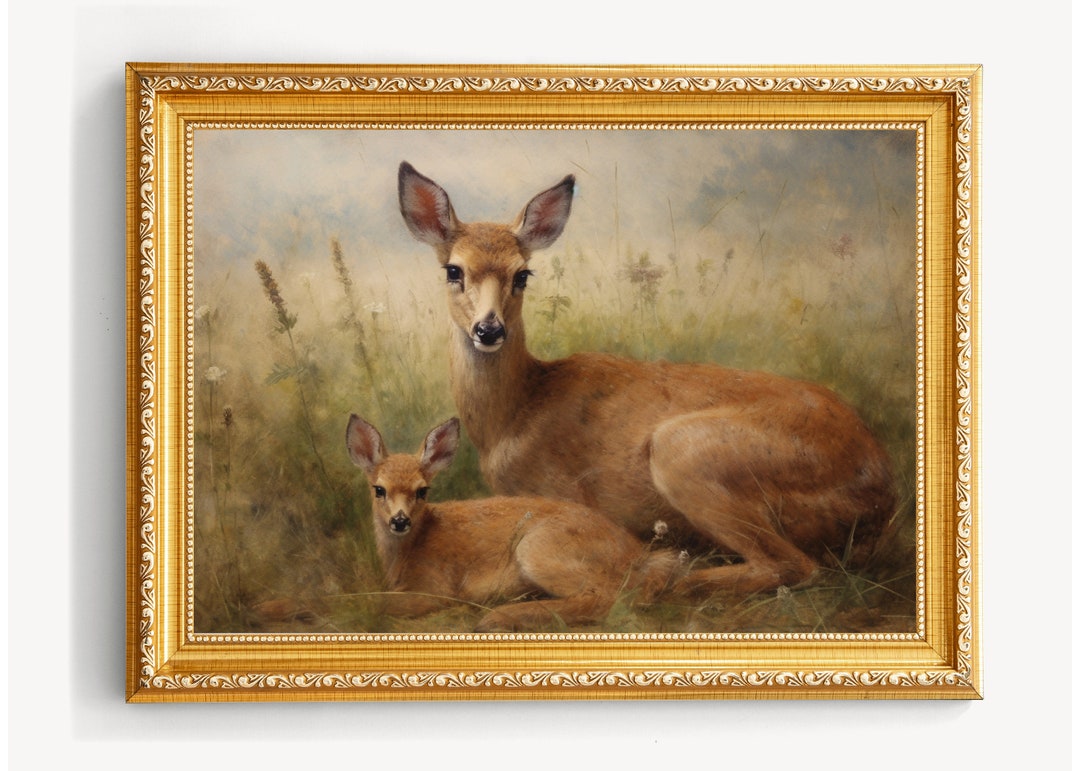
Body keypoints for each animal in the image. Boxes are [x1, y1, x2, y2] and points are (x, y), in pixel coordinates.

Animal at [346, 414, 685, 632]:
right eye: (379, 489)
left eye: (422, 490)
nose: (399, 520)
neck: (408, 552)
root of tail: (638, 554)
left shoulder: (437, 587)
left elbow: (375, 602)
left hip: (539, 548)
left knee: (611, 598)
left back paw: (497, 618)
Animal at [397, 161, 898, 599]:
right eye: (453, 270)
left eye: (523, 273)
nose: (489, 329)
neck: (518, 412)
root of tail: (882, 493)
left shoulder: (565, 494)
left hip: (686, 450)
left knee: (792, 565)